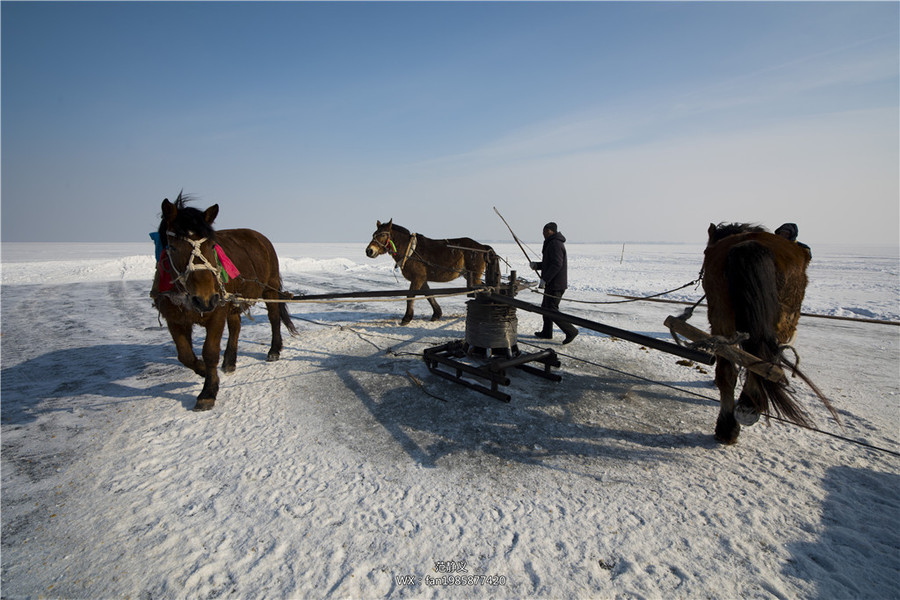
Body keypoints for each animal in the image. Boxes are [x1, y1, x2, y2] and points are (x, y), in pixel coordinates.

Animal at [153, 195, 298, 410]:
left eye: (212, 246)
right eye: (173, 247)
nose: (205, 298)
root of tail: (259, 236)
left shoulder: (217, 312)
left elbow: (210, 352)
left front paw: (208, 392)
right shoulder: (175, 319)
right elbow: (185, 355)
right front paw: (202, 370)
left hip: (269, 287)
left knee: (273, 318)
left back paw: (273, 350)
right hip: (234, 300)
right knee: (236, 326)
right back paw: (230, 361)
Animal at [364, 219, 492, 326]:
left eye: (383, 234)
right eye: (374, 234)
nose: (369, 251)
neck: (410, 250)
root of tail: (482, 247)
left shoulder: (417, 278)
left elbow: (410, 296)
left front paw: (406, 318)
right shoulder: (422, 279)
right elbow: (429, 295)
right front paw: (437, 314)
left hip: (474, 275)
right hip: (469, 275)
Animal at [704, 223, 836, 442]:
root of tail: (750, 244)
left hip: (721, 319)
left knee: (727, 371)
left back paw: (726, 426)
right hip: (781, 320)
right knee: (763, 362)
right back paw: (749, 405)